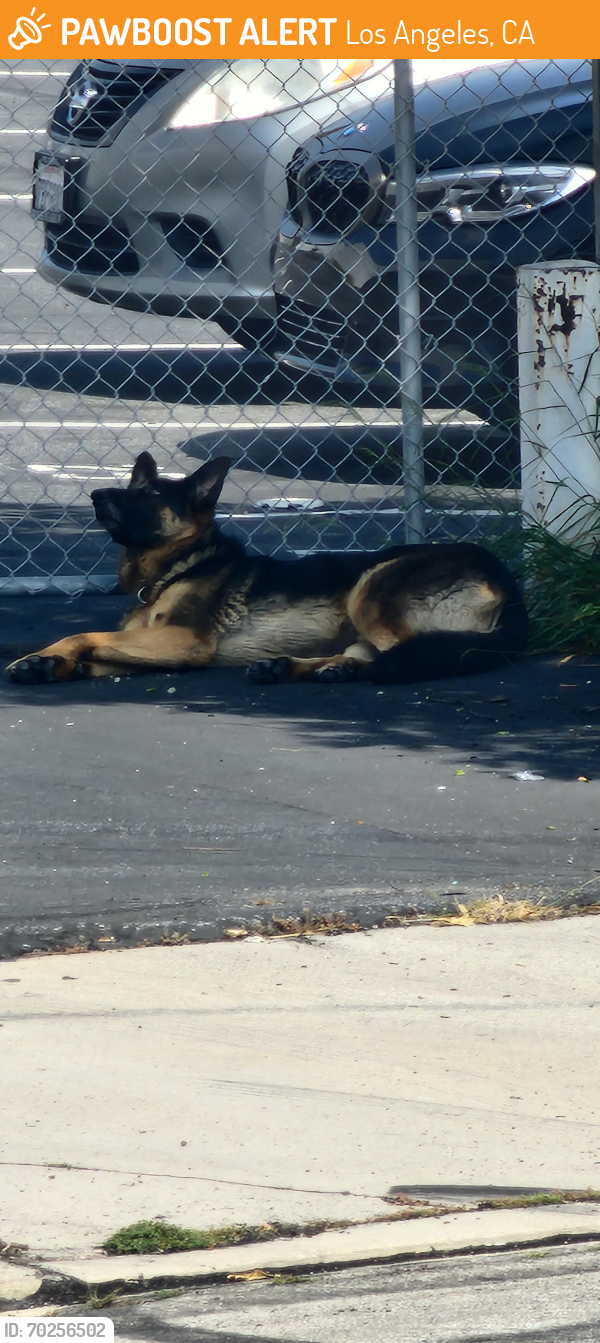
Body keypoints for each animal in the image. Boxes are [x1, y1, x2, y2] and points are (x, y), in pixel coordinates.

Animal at [7, 453, 528, 687]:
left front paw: (46, 656)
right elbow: (94, 648)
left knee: (393, 655)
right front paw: (47, 664)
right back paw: (295, 666)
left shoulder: (182, 643)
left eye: (150, 496)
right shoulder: (151, 647)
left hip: (372, 585)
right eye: (132, 489)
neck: (182, 566)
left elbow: (84, 633)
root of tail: (507, 581)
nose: (96, 496)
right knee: (366, 653)